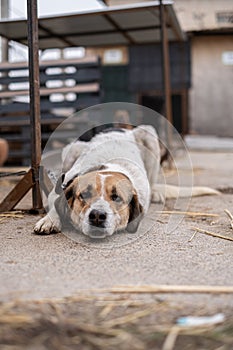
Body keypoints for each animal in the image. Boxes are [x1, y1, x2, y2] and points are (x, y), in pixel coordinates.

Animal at [33, 125, 219, 238]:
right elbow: (54, 203)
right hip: (71, 149)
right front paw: (49, 220)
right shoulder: (62, 185)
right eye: (84, 195)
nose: (97, 215)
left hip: (148, 134)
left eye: (116, 198)